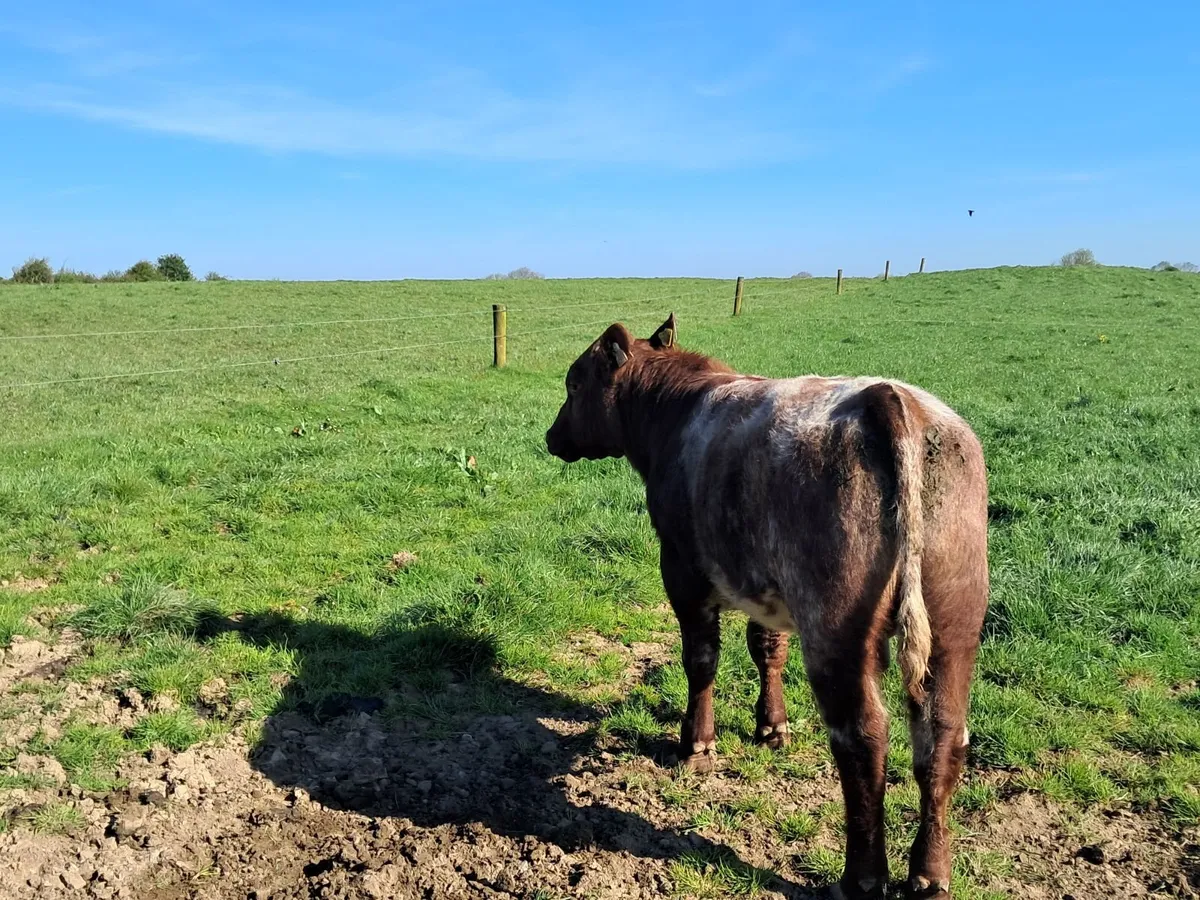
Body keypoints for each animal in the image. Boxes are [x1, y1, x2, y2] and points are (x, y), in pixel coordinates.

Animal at [545, 315, 989, 899]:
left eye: (574, 383)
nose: (551, 437)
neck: (677, 412)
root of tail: (888, 397)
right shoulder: (766, 588)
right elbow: (767, 648)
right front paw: (771, 727)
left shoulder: (682, 569)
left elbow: (701, 659)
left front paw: (697, 744)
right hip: (954, 623)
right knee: (943, 734)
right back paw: (930, 873)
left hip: (836, 629)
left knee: (863, 736)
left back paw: (861, 877)